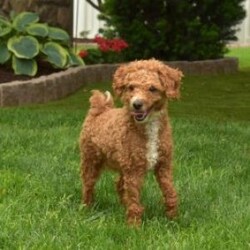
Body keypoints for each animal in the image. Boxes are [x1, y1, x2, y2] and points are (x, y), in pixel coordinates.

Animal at [80, 59, 184, 226]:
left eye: (152, 88)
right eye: (131, 87)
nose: (136, 104)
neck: (148, 127)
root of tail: (100, 110)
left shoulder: (163, 165)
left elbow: (170, 192)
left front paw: (173, 219)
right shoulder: (133, 170)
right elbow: (134, 199)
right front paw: (134, 225)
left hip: (123, 164)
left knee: (119, 184)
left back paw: (122, 206)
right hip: (91, 159)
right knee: (88, 185)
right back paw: (86, 207)